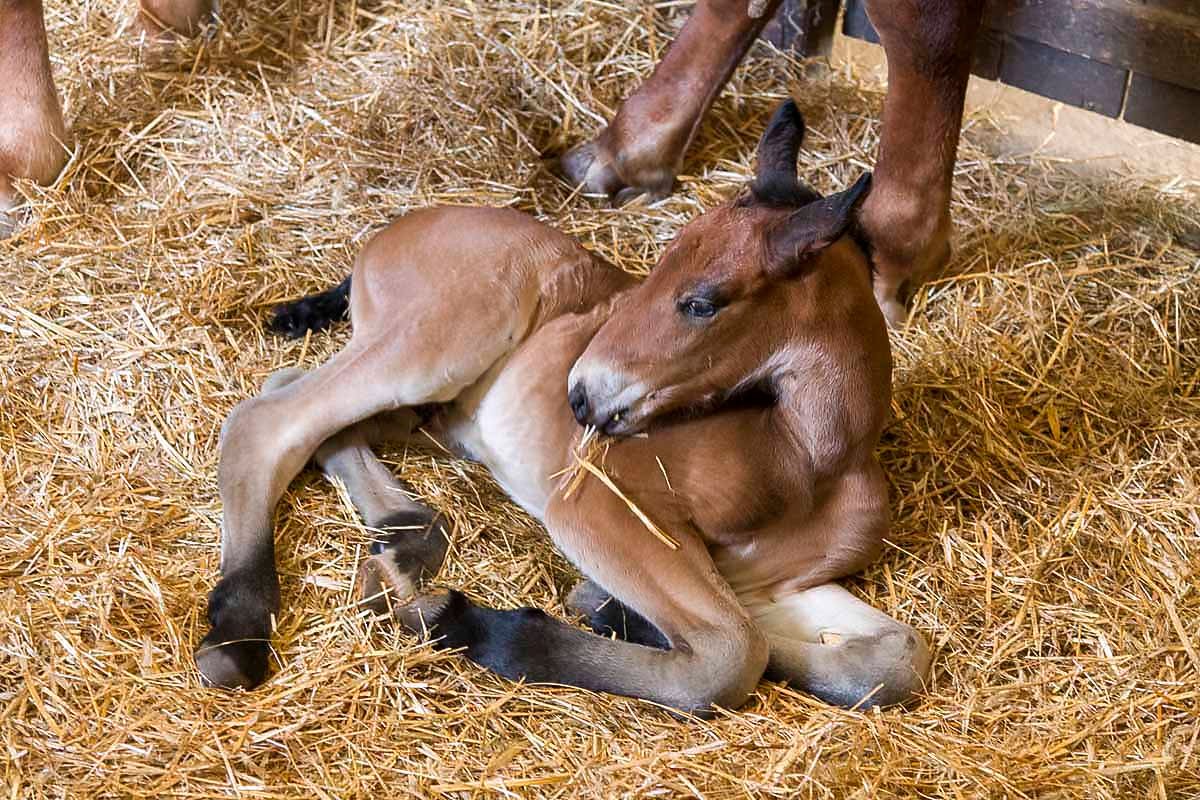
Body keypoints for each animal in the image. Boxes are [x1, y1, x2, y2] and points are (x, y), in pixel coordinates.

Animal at [196, 101, 926, 714]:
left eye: (702, 302)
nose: (581, 393)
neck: (804, 457)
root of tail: (394, 229)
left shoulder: (766, 585)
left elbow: (892, 662)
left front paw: (605, 609)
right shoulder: (599, 505)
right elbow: (731, 658)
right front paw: (459, 619)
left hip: (432, 406)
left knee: (303, 402)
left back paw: (405, 538)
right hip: (443, 339)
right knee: (266, 422)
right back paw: (238, 634)